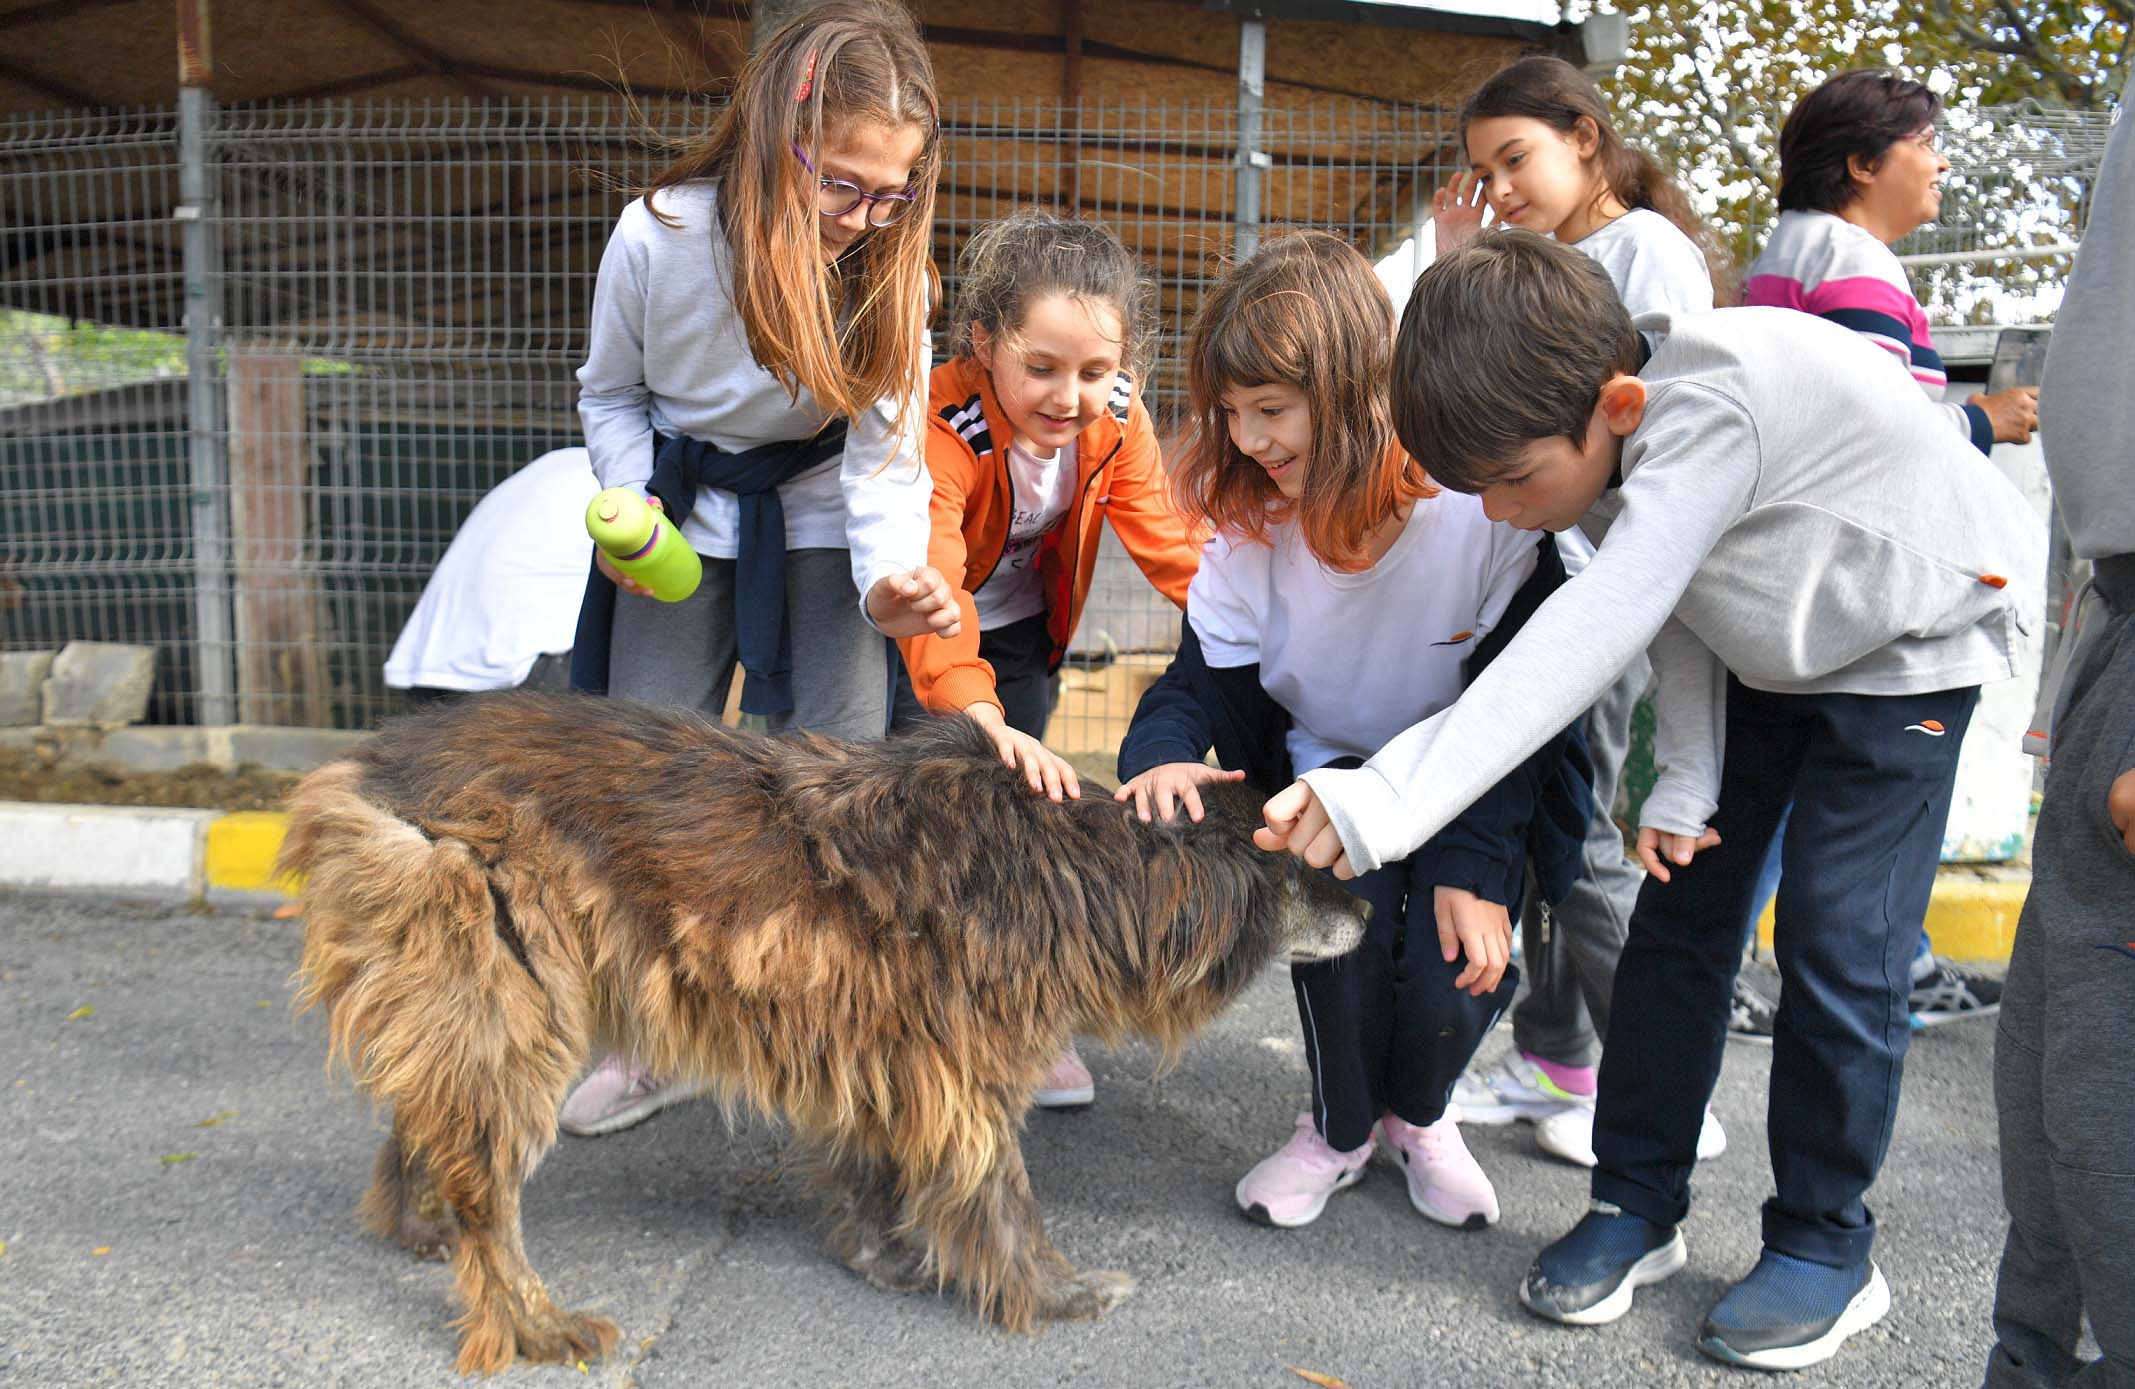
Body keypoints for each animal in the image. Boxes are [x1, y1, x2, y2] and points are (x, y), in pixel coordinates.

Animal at [283, 691, 1366, 1374]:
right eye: (1301, 866)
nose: (1367, 910)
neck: (1081, 868)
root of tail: (366, 763)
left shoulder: (879, 1050)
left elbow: (871, 1169)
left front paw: (880, 1257)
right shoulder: (959, 1073)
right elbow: (1000, 1199)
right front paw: (1051, 1296)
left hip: (486, 998)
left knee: (431, 1121)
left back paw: (415, 1224)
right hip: (514, 995)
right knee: (487, 1191)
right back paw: (530, 1320)